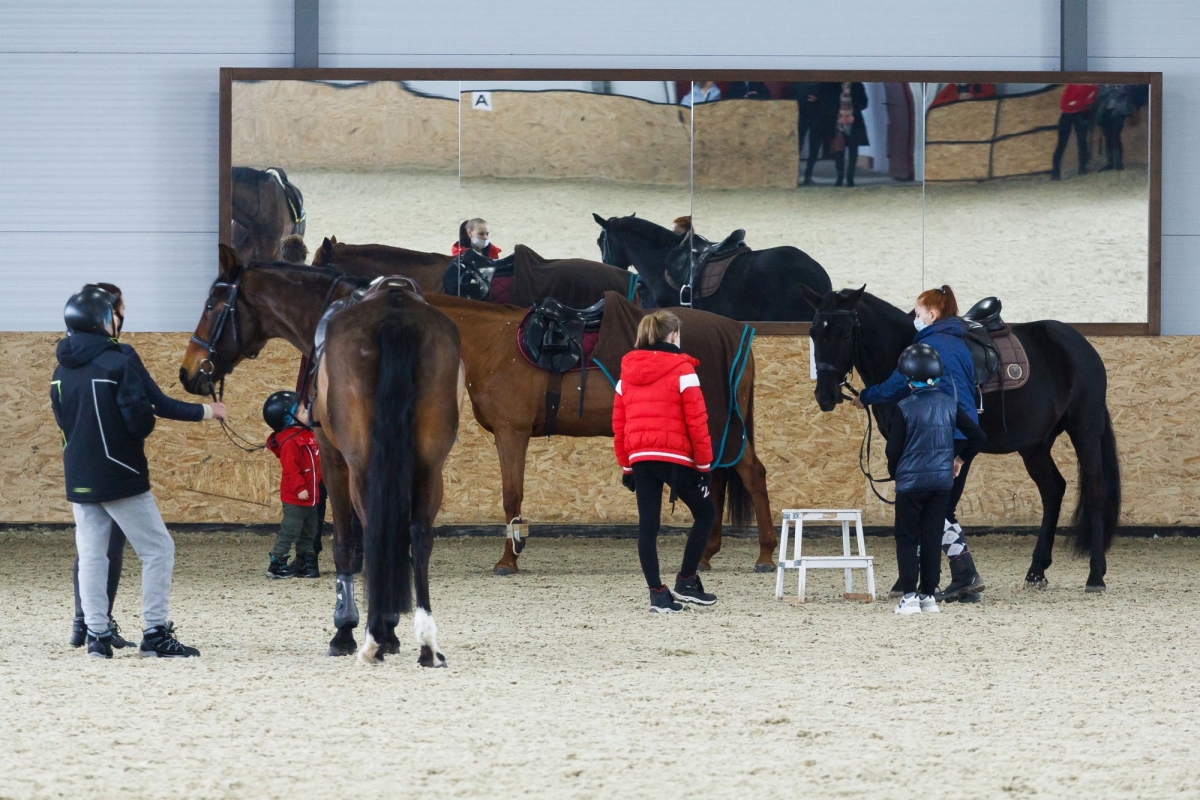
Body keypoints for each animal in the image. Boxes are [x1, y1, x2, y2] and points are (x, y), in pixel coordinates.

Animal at [177, 247, 777, 578]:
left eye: (212, 302)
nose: (188, 372)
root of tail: (735, 330)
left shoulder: (511, 434)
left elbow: (511, 496)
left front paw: (508, 558)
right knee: (734, 475)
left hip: (719, 424)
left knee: (748, 474)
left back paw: (767, 553)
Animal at [182, 248, 463, 662]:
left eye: (210, 305)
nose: (188, 370)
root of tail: (396, 316)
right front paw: (391, 630)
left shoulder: (332, 458)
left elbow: (346, 541)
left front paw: (347, 630)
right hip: (431, 465)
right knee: (419, 534)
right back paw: (426, 642)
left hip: (361, 463)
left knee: (374, 528)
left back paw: (372, 638)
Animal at [801, 284, 1118, 592]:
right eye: (814, 332)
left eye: (844, 334)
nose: (824, 396)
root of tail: (1080, 345)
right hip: (1035, 446)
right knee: (1053, 490)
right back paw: (1036, 571)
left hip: (1085, 429)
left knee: (1095, 489)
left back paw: (1096, 575)